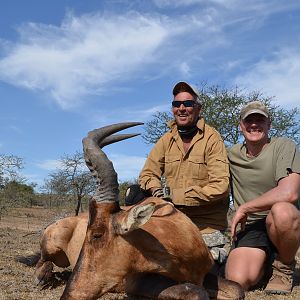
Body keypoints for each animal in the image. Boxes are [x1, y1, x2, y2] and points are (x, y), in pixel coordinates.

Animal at [35, 122, 244, 300]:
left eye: (96, 234)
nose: (69, 295)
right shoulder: (135, 283)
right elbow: (196, 292)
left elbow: (238, 289)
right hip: (50, 248)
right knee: (41, 260)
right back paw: (41, 278)